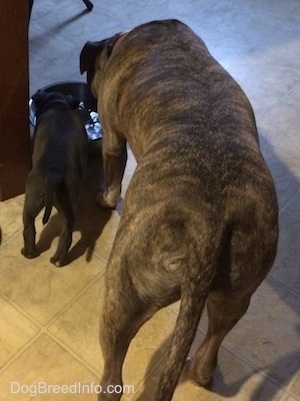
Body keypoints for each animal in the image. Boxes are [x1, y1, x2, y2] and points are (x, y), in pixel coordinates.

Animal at [21, 90, 88, 266]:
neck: (58, 105)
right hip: (62, 206)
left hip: (31, 201)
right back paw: (55, 259)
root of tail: (54, 171)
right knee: (63, 234)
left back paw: (30, 254)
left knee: (29, 229)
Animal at [79, 18, 278, 400]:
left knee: (113, 377)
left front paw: (104, 199)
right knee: (210, 347)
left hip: (122, 296)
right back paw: (200, 372)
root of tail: (210, 223)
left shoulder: (112, 136)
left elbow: (112, 176)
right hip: (236, 293)